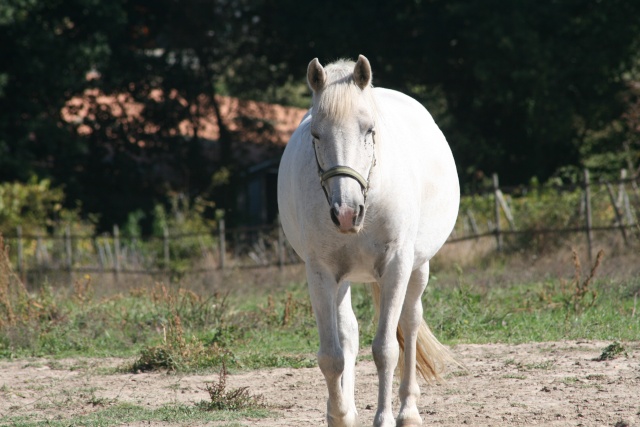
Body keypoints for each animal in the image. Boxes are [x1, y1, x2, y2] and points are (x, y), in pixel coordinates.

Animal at [278, 54, 458, 427]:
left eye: (369, 130)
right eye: (316, 134)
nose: (346, 213)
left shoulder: (396, 266)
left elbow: (386, 349)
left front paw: (385, 417)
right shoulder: (320, 272)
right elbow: (331, 354)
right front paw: (340, 415)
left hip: (418, 268)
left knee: (410, 322)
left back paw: (408, 410)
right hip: (343, 278)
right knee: (349, 332)